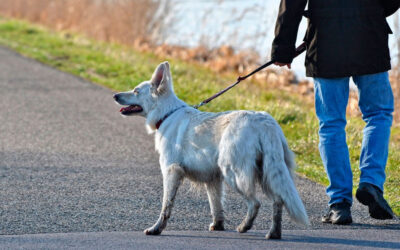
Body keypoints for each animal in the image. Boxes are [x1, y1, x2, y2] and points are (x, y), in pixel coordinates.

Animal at [114, 61, 308, 239]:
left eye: (136, 91)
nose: (115, 95)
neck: (167, 113)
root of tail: (265, 122)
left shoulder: (171, 171)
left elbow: (166, 205)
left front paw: (156, 228)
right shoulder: (213, 178)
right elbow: (216, 205)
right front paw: (218, 225)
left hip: (234, 173)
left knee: (255, 203)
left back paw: (244, 226)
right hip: (267, 173)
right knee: (278, 200)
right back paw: (274, 233)